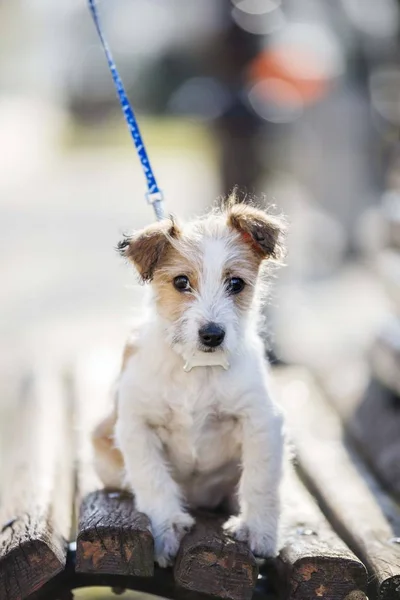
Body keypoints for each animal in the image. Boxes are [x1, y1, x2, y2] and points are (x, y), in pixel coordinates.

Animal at [92, 196, 286, 568]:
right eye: (182, 282)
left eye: (236, 284)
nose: (212, 334)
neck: (198, 367)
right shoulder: (136, 425)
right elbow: (152, 479)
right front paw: (166, 527)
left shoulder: (261, 421)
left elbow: (260, 480)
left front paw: (258, 531)